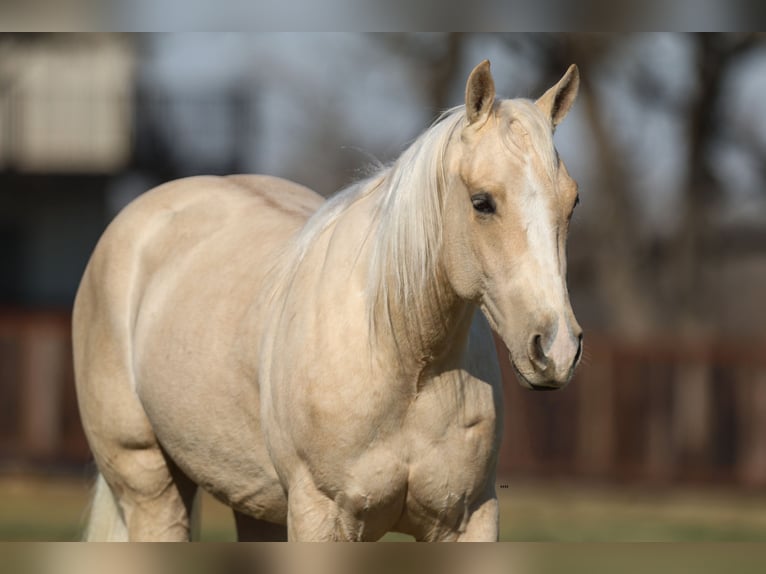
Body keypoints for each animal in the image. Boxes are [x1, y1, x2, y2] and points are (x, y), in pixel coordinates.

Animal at [75, 60, 584, 544]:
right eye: (482, 202)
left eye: (573, 202)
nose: (556, 349)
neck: (406, 363)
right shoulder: (321, 515)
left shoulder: (471, 519)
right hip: (149, 484)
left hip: (255, 503)